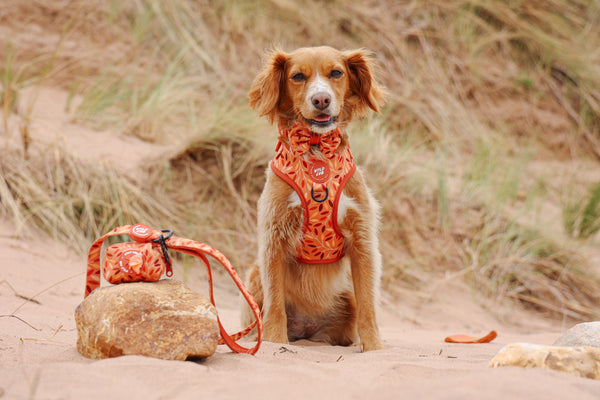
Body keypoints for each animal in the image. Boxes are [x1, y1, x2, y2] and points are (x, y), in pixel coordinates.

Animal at [243, 47, 386, 352]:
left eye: (336, 73)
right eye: (298, 76)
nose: (321, 99)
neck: (317, 150)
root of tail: (308, 329)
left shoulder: (363, 241)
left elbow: (369, 306)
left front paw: (373, 348)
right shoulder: (273, 239)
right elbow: (275, 305)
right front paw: (275, 342)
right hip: (253, 275)